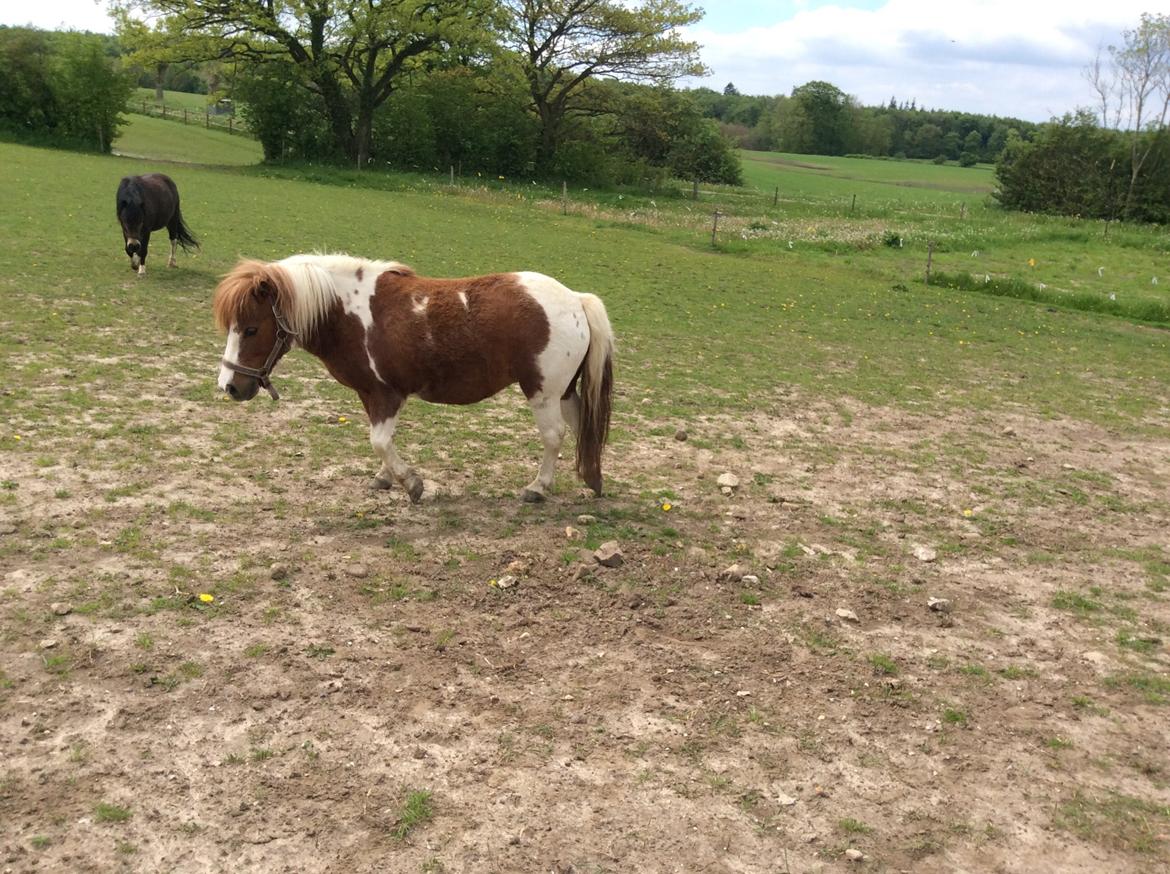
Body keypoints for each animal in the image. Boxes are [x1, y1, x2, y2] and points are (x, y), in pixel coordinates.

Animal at [212, 252, 613, 503]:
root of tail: (576, 299)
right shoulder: (370, 394)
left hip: (543, 393)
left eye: (251, 329)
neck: (347, 313)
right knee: (582, 425)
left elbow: (379, 441)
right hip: (565, 392)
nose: (229, 386)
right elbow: (382, 443)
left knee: (554, 435)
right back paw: (592, 479)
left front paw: (412, 484)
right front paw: (385, 477)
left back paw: (538, 487)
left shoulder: (386, 394)